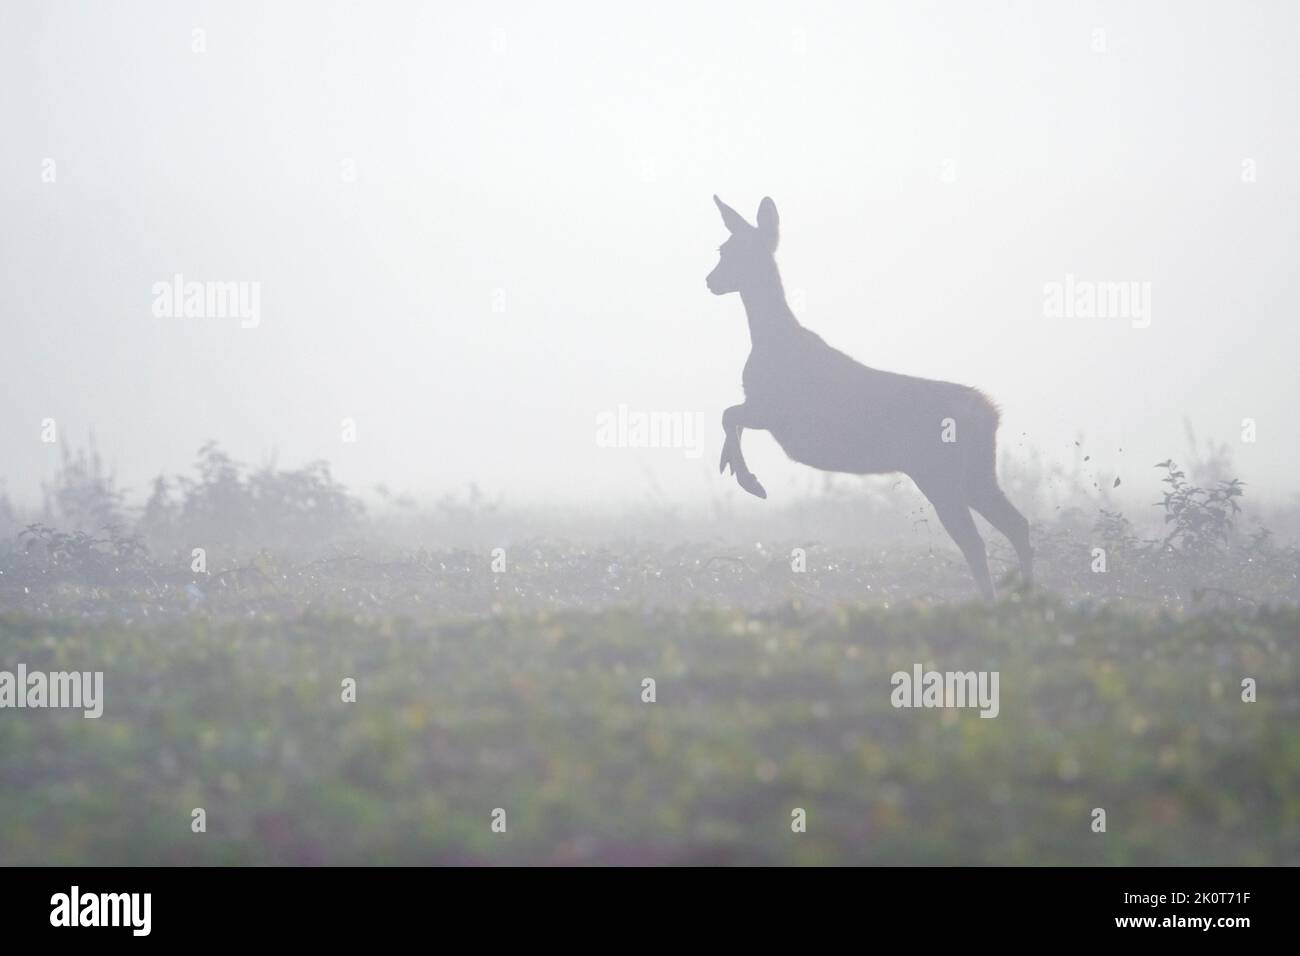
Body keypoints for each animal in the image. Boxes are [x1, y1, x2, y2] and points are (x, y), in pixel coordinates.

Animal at [707, 193, 1029, 598]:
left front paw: (749, 481)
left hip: (940, 472)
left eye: (730, 250)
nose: (710, 280)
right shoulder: (764, 410)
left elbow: (728, 414)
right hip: (975, 472)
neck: (770, 340)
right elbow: (730, 417)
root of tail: (991, 413)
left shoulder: (776, 410)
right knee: (1017, 524)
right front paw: (732, 466)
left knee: (975, 541)